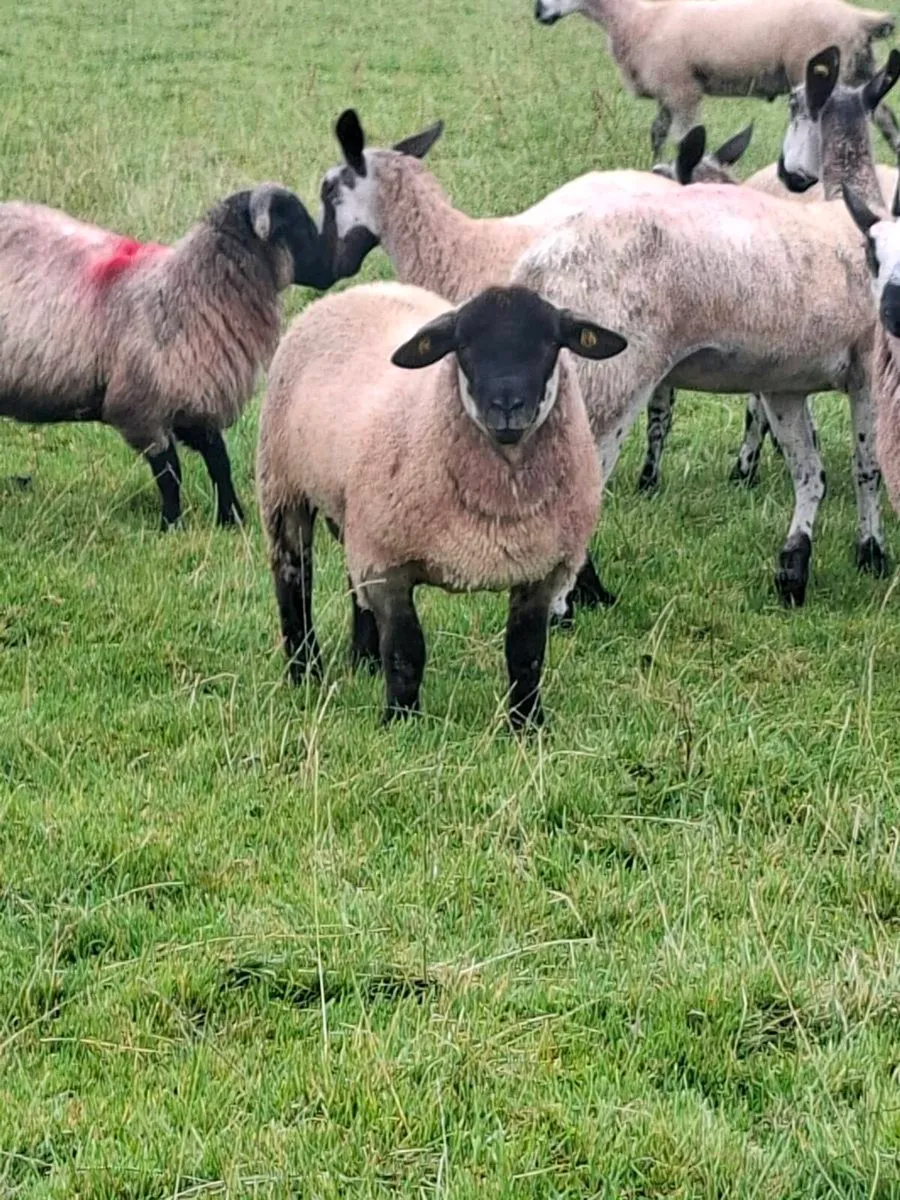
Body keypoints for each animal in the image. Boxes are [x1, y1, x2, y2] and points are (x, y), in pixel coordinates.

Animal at [0, 185, 334, 529]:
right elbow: (170, 471)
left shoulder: (193, 402)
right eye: (294, 225)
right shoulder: (140, 409)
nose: (335, 268)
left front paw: (231, 518)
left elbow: (218, 459)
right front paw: (172, 524)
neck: (190, 292)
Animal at [256, 282, 626, 727]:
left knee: (353, 582)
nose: (506, 407)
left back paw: (364, 662)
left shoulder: (541, 570)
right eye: (463, 346)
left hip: (356, 512)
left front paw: (527, 724)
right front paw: (401, 720)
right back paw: (305, 672)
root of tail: (357, 290)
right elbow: (406, 650)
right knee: (293, 580)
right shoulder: (389, 564)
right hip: (284, 486)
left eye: (551, 344)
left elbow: (526, 654)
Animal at [511, 180, 887, 612]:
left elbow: (810, 473)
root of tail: (536, 266)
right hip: (609, 380)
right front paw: (872, 554)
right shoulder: (867, 369)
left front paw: (794, 569)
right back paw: (567, 605)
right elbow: (867, 469)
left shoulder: (785, 384)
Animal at [533, 0, 900, 156]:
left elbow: (685, 138)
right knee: (885, 118)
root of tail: (859, 19)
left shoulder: (681, 89)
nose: (538, 13)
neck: (635, 17)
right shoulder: (669, 91)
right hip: (858, 69)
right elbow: (657, 134)